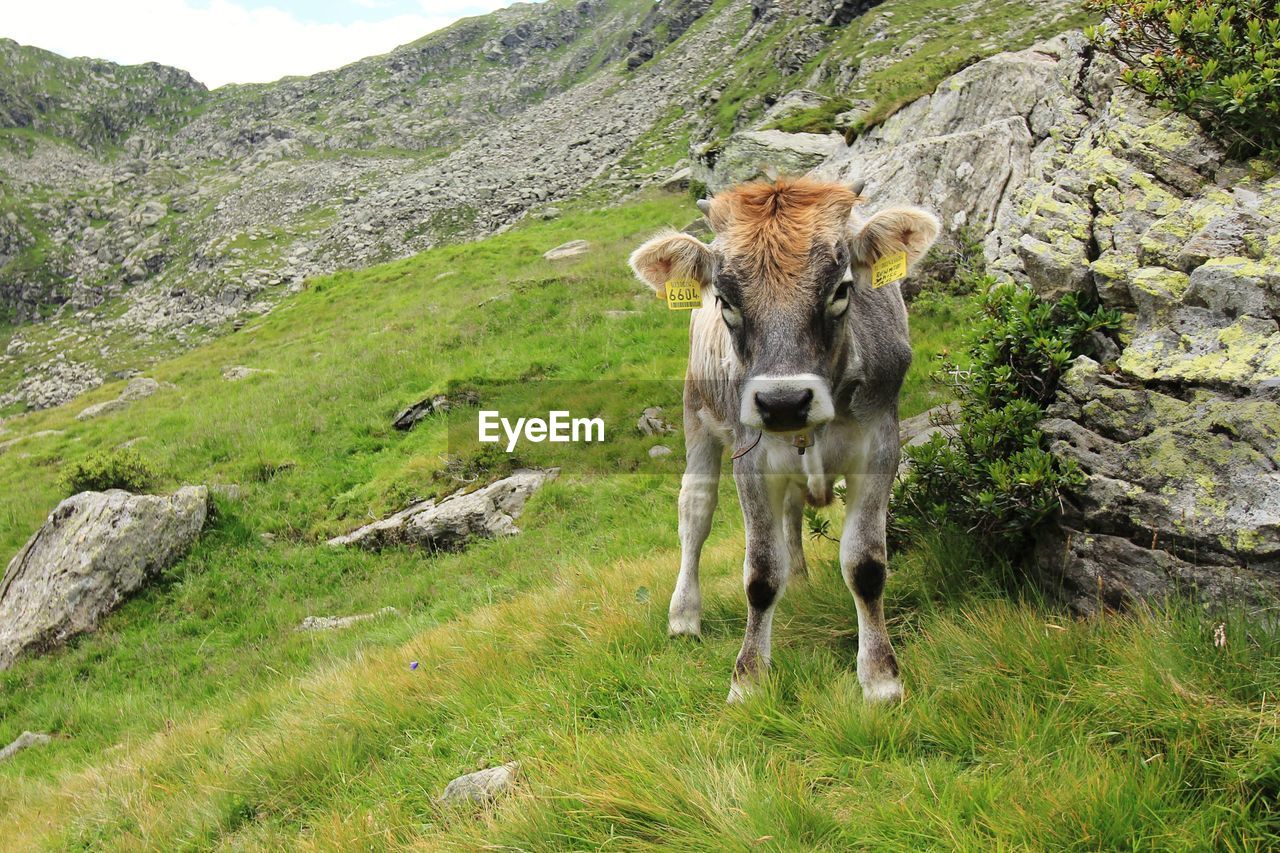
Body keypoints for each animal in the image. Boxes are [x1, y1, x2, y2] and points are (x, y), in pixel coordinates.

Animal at [629, 175, 942, 701]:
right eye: (726, 301)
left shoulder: (881, 443)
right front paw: (748, 680)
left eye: (841, 289)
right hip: (697, 412)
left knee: (793, 512)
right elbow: (759, 574)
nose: (783, 402)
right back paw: (684, 615)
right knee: (695, 511)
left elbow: (866, 566)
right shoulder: (751, 458)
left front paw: (881, 679)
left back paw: (799, 580)